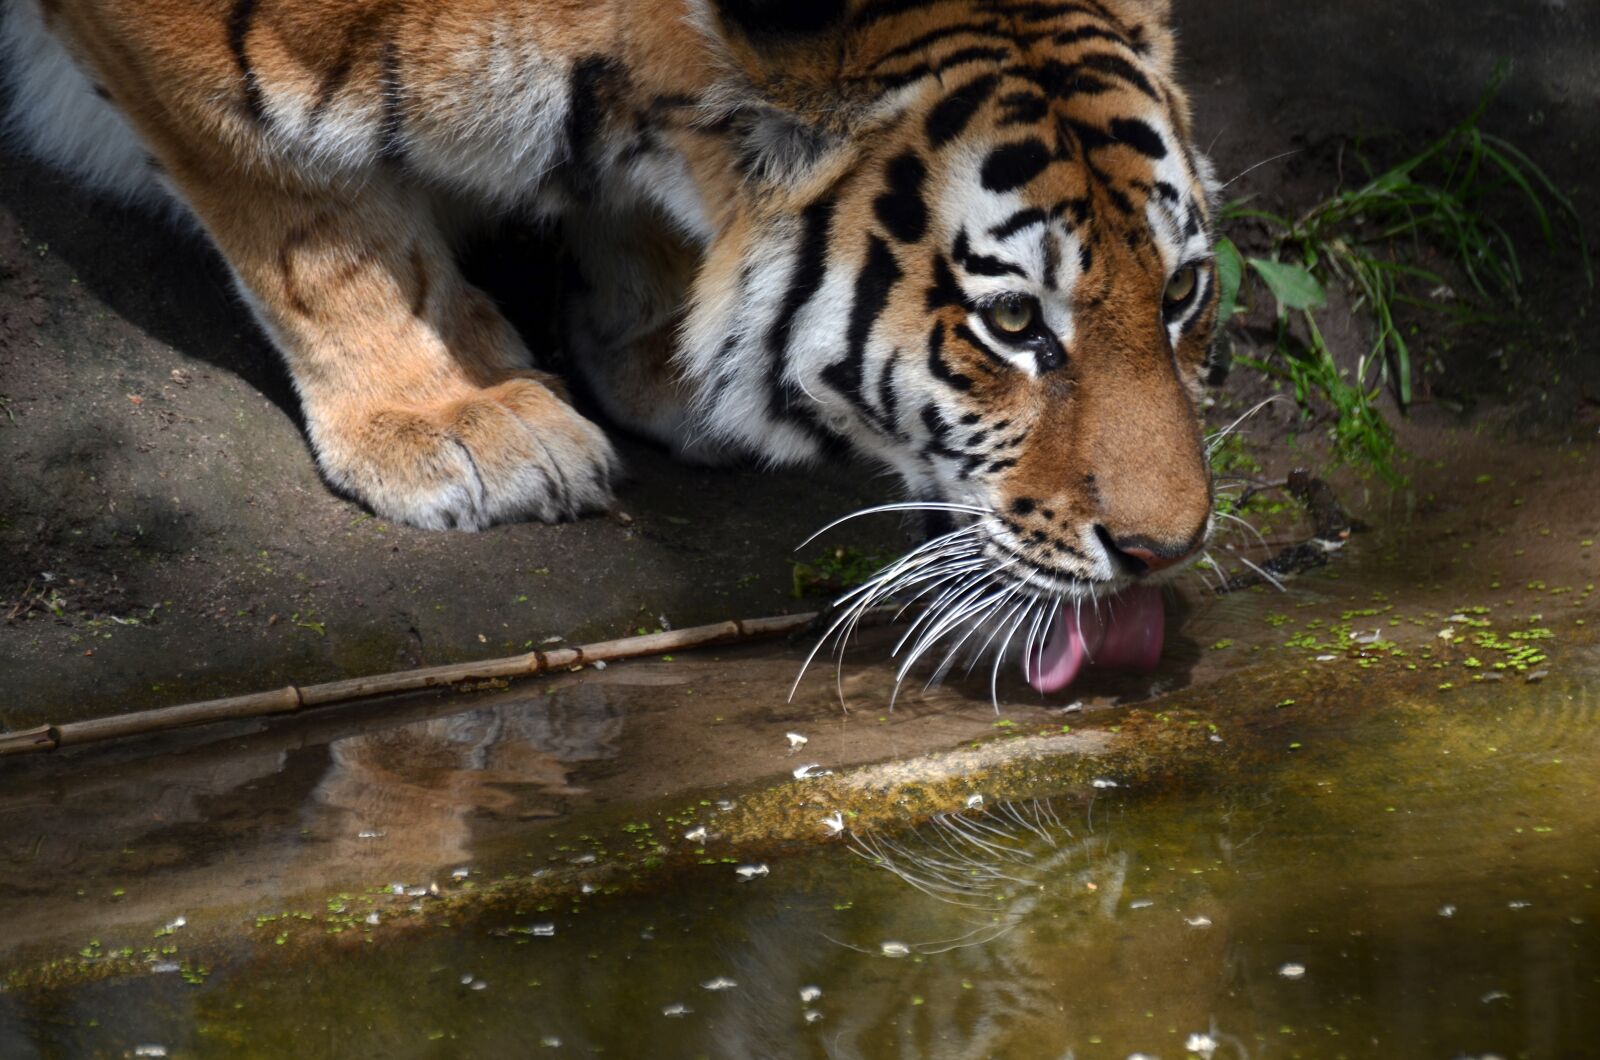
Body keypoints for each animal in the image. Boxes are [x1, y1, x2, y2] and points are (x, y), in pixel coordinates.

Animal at [4, 0, 1221, 691]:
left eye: (1182, 292)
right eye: (1011, 323)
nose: (1167, 552)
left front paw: (669, 359)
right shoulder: (198, 56)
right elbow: (306, 208)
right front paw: (453, 419)